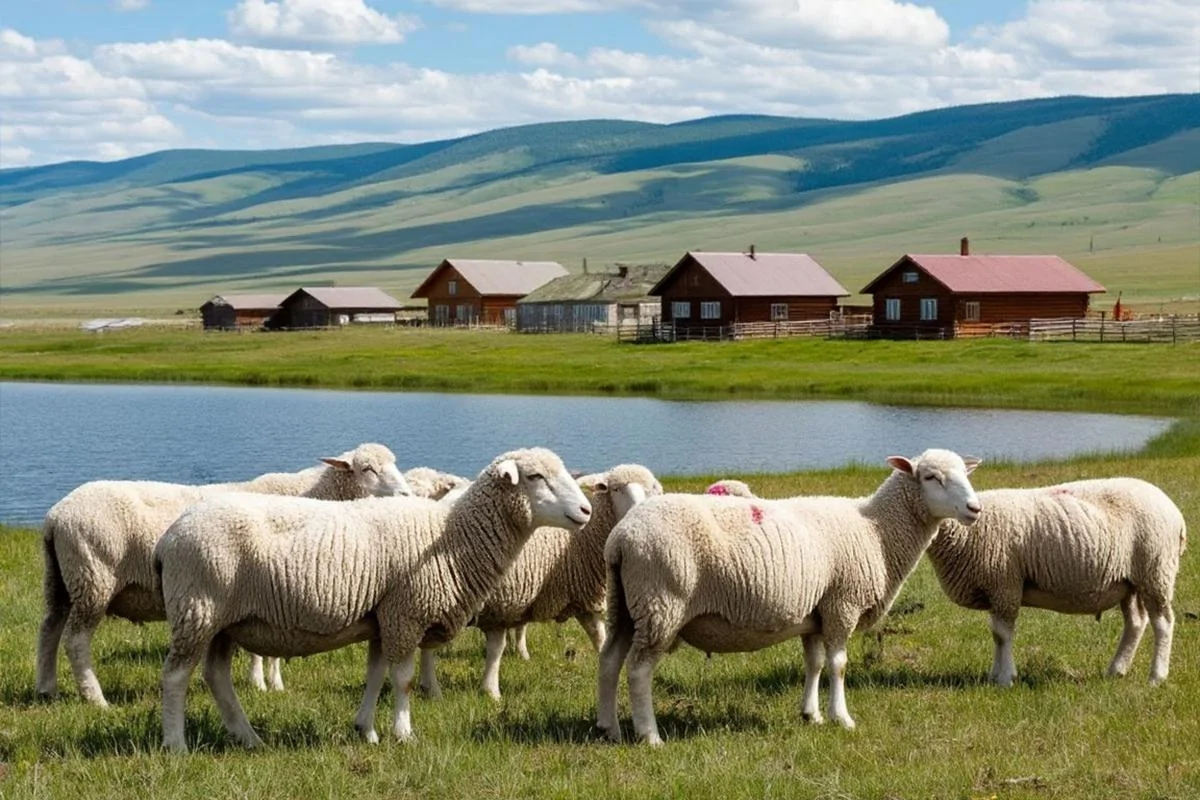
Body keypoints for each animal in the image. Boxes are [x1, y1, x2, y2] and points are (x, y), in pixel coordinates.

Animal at [36, 442, 411, 707]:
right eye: (367, 468)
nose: (406, 494)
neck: (311, 494)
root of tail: (55, 515)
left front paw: (274, 683)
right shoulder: (261, 585)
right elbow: (260, 649)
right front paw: (261, 683)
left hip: (62, 580)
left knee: (49, 629)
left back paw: (46, 688)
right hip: (93, 577)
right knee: (76, 640)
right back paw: (96, 699)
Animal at [154, 447, 592, 752]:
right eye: (535, 476)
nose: (586, 510)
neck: (451, 536)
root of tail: (170, 536)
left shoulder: (384, 617)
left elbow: (376, 674)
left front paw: (366, 730)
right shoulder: (405, 613)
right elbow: (403, 680)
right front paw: (404, 733)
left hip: (222, 621)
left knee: (216, 676)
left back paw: (248, 737)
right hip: (199, 608)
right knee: (175, 677)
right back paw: (176, 745)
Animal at [418, 465, 663, 700]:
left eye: (650, 489)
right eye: (616, 489)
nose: (639, 509)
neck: (578, 540)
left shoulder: (583, 598)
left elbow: (599, 639)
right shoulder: (501, 603)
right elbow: (495, 649)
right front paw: (491, 691)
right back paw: (431, 688)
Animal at [596, 449, 981, 745]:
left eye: (965, 473)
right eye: (931, 477)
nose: (974, 508)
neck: (877, 529)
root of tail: (622, 537)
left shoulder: (816, 612)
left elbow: (815, 663)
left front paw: (811, 715)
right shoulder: (842, 604)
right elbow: (838, 665)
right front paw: (842, 718)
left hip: (625, 606)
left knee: (609, 660)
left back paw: (609, 728)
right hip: (662, 602)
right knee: (639, 671)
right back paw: (650, 736)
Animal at [926, 477, 1186, 687]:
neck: (964, 532)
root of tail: (1175, 512)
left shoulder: (1005, 585)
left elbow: (1002, 635)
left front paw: (1005, 679)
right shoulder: (997, 590)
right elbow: (997, 636)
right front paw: (994, 676)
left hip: (1155, 570)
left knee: (1163, 623)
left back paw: (1157, 676)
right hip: (1129, 582)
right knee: (1136, 622)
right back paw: (1116, 670)